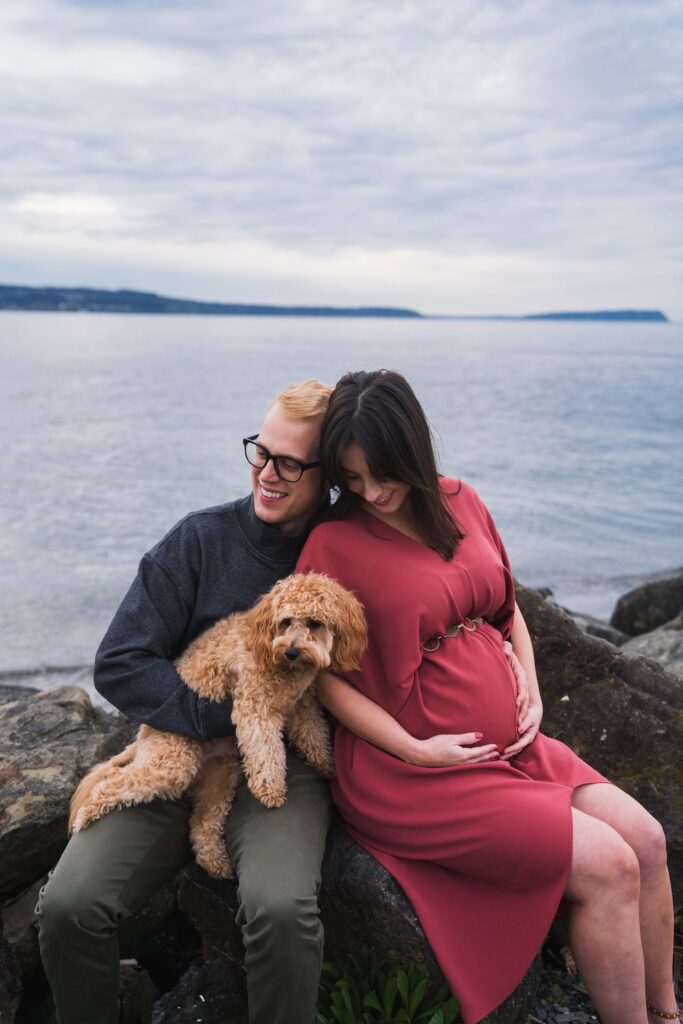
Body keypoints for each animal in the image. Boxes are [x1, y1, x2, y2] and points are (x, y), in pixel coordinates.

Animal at [68, 573, 368, 876]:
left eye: (315, 623)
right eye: (285, 621)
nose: (292, 651)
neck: (276, 653)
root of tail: (142, 734)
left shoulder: (302, 705)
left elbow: (314, 734)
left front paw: (326, 764)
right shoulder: (254, 706)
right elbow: (266, 751)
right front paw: (270, 789)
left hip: (221, 777)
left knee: (201, 824)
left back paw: (215, 863)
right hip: (172, 761)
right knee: (114, 781)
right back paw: (86, 815)